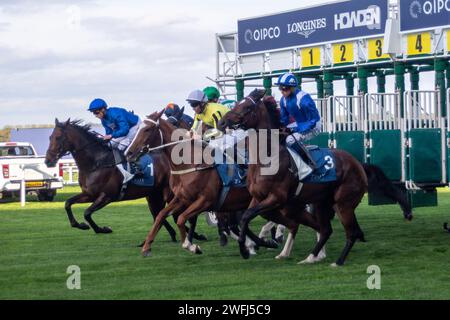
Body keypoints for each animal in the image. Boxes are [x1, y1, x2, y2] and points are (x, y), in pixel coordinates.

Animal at [44, 119, 206, 241]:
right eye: (50, 137)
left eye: (58, 137)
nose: (48, 161)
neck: (96, 163)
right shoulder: (89, 194)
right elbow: (68, 203)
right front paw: (80, 225)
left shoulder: (107, 196)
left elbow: (87, 213)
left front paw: (103, 229)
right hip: (154, 195)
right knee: (160, 213)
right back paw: (174, 234)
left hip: (169, 193)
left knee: (176, 213)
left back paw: (195, 235)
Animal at [125, 111, 322, 256]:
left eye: (147, 129)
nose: (129, 153)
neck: (192, 163)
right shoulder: (182, 198)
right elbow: (161, 216)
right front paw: (147, 246)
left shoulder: (205, 200)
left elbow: (182, 219)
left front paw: (191, 245)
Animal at [218, 89, 412, 264]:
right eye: (237, 103)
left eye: (247, 107)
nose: (221, 122)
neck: (268, 157)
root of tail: (358, 164)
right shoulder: (259, 198)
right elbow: (246, 218)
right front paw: (256, 245)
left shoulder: (276, 197)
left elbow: (246, 217)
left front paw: (247, 249)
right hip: (320, 203)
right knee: (326, 229)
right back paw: (311, 257)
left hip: (343, 203)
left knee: (351, 232)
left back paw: (337, 261)